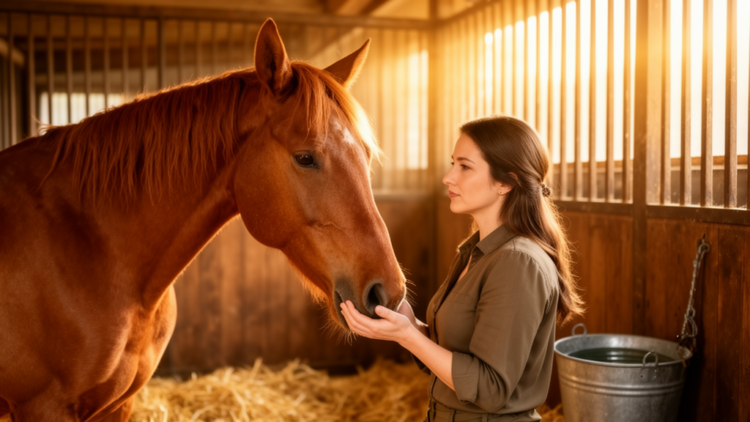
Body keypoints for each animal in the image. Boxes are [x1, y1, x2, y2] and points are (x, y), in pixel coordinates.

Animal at [0, 18, 406, 421]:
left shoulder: (117, 405)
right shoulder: (45, 406)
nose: (388, 292)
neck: (88, 244)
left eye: (367, 155)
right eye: (305, 157)